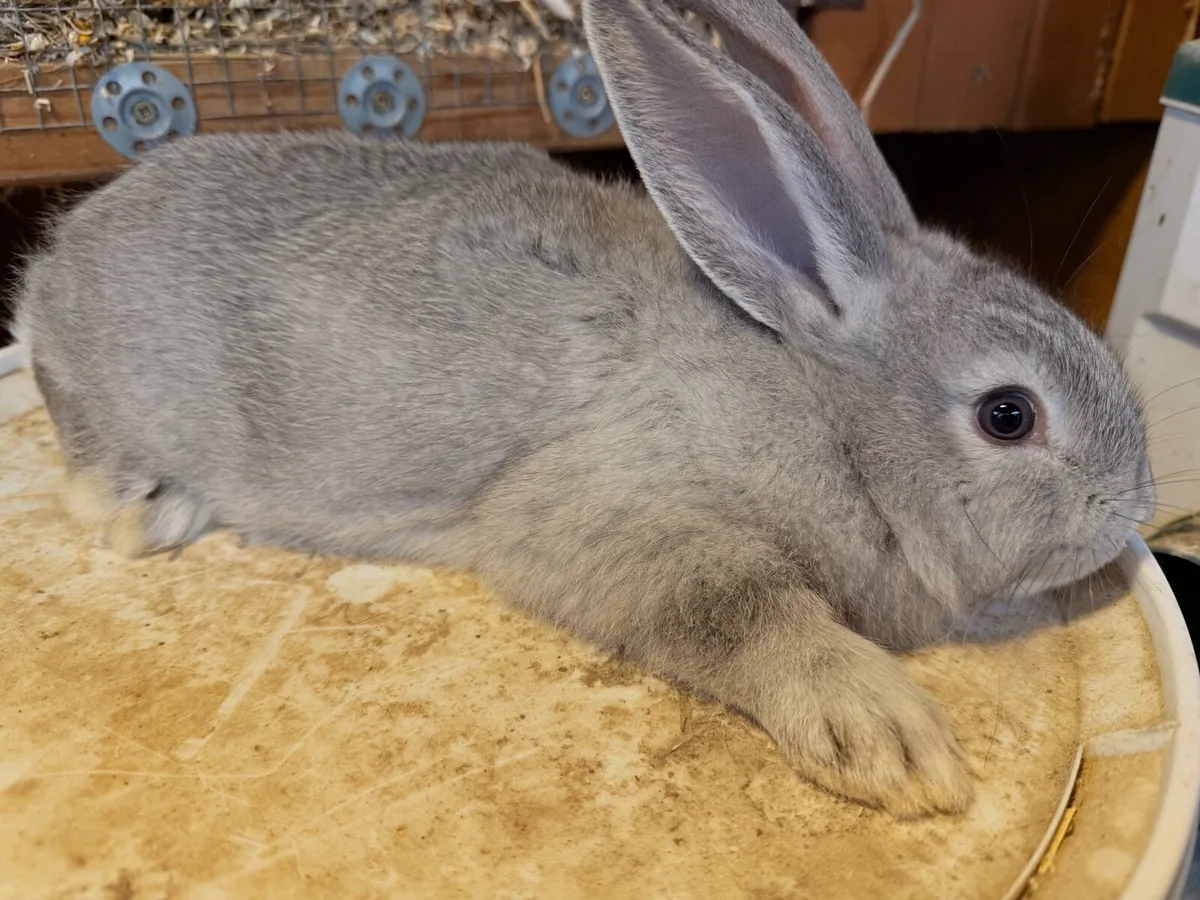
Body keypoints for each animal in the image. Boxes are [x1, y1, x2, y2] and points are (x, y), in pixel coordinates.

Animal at [14, 0, 1154, 819]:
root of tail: (55, 266)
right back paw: (144, 513)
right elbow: (744, 609)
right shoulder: (624, 513)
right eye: (1009, 415)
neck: (829, 409)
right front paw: (892, 740)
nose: (1134, 509)